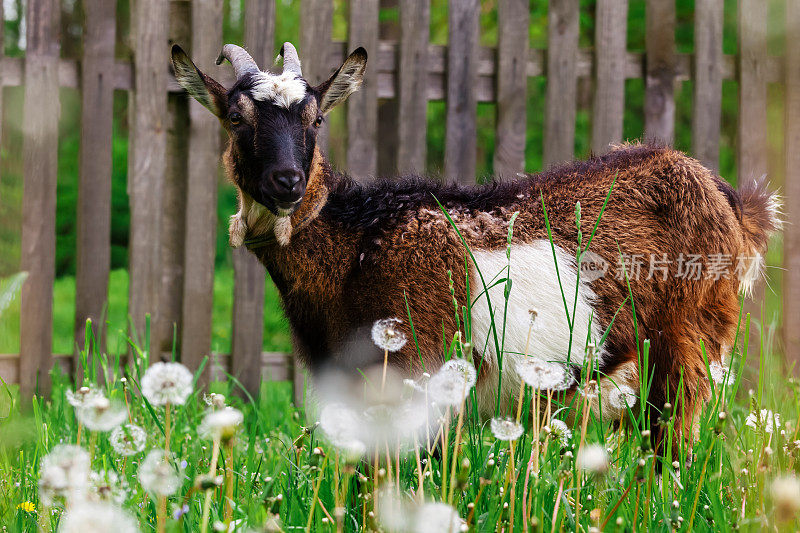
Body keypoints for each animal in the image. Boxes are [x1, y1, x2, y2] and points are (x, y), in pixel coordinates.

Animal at [172, 42, 780, 448]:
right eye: (235, 118)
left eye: (315, 118)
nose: (288, 182)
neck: (358, 242)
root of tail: (723, 195)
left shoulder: (420, 374)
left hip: (688, 349)